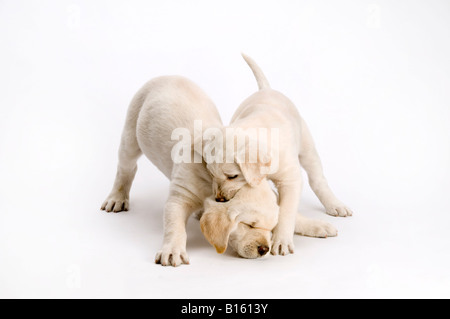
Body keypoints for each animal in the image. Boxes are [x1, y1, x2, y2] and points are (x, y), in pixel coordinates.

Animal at [204, 54, 356, 258]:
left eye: (233, 176)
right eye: (212, 175)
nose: (219, 199)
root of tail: (266, 89)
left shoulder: (290, 180)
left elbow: (285, 212)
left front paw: (282, 240)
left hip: (307, 147)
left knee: (317, 179)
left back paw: (335, 204)